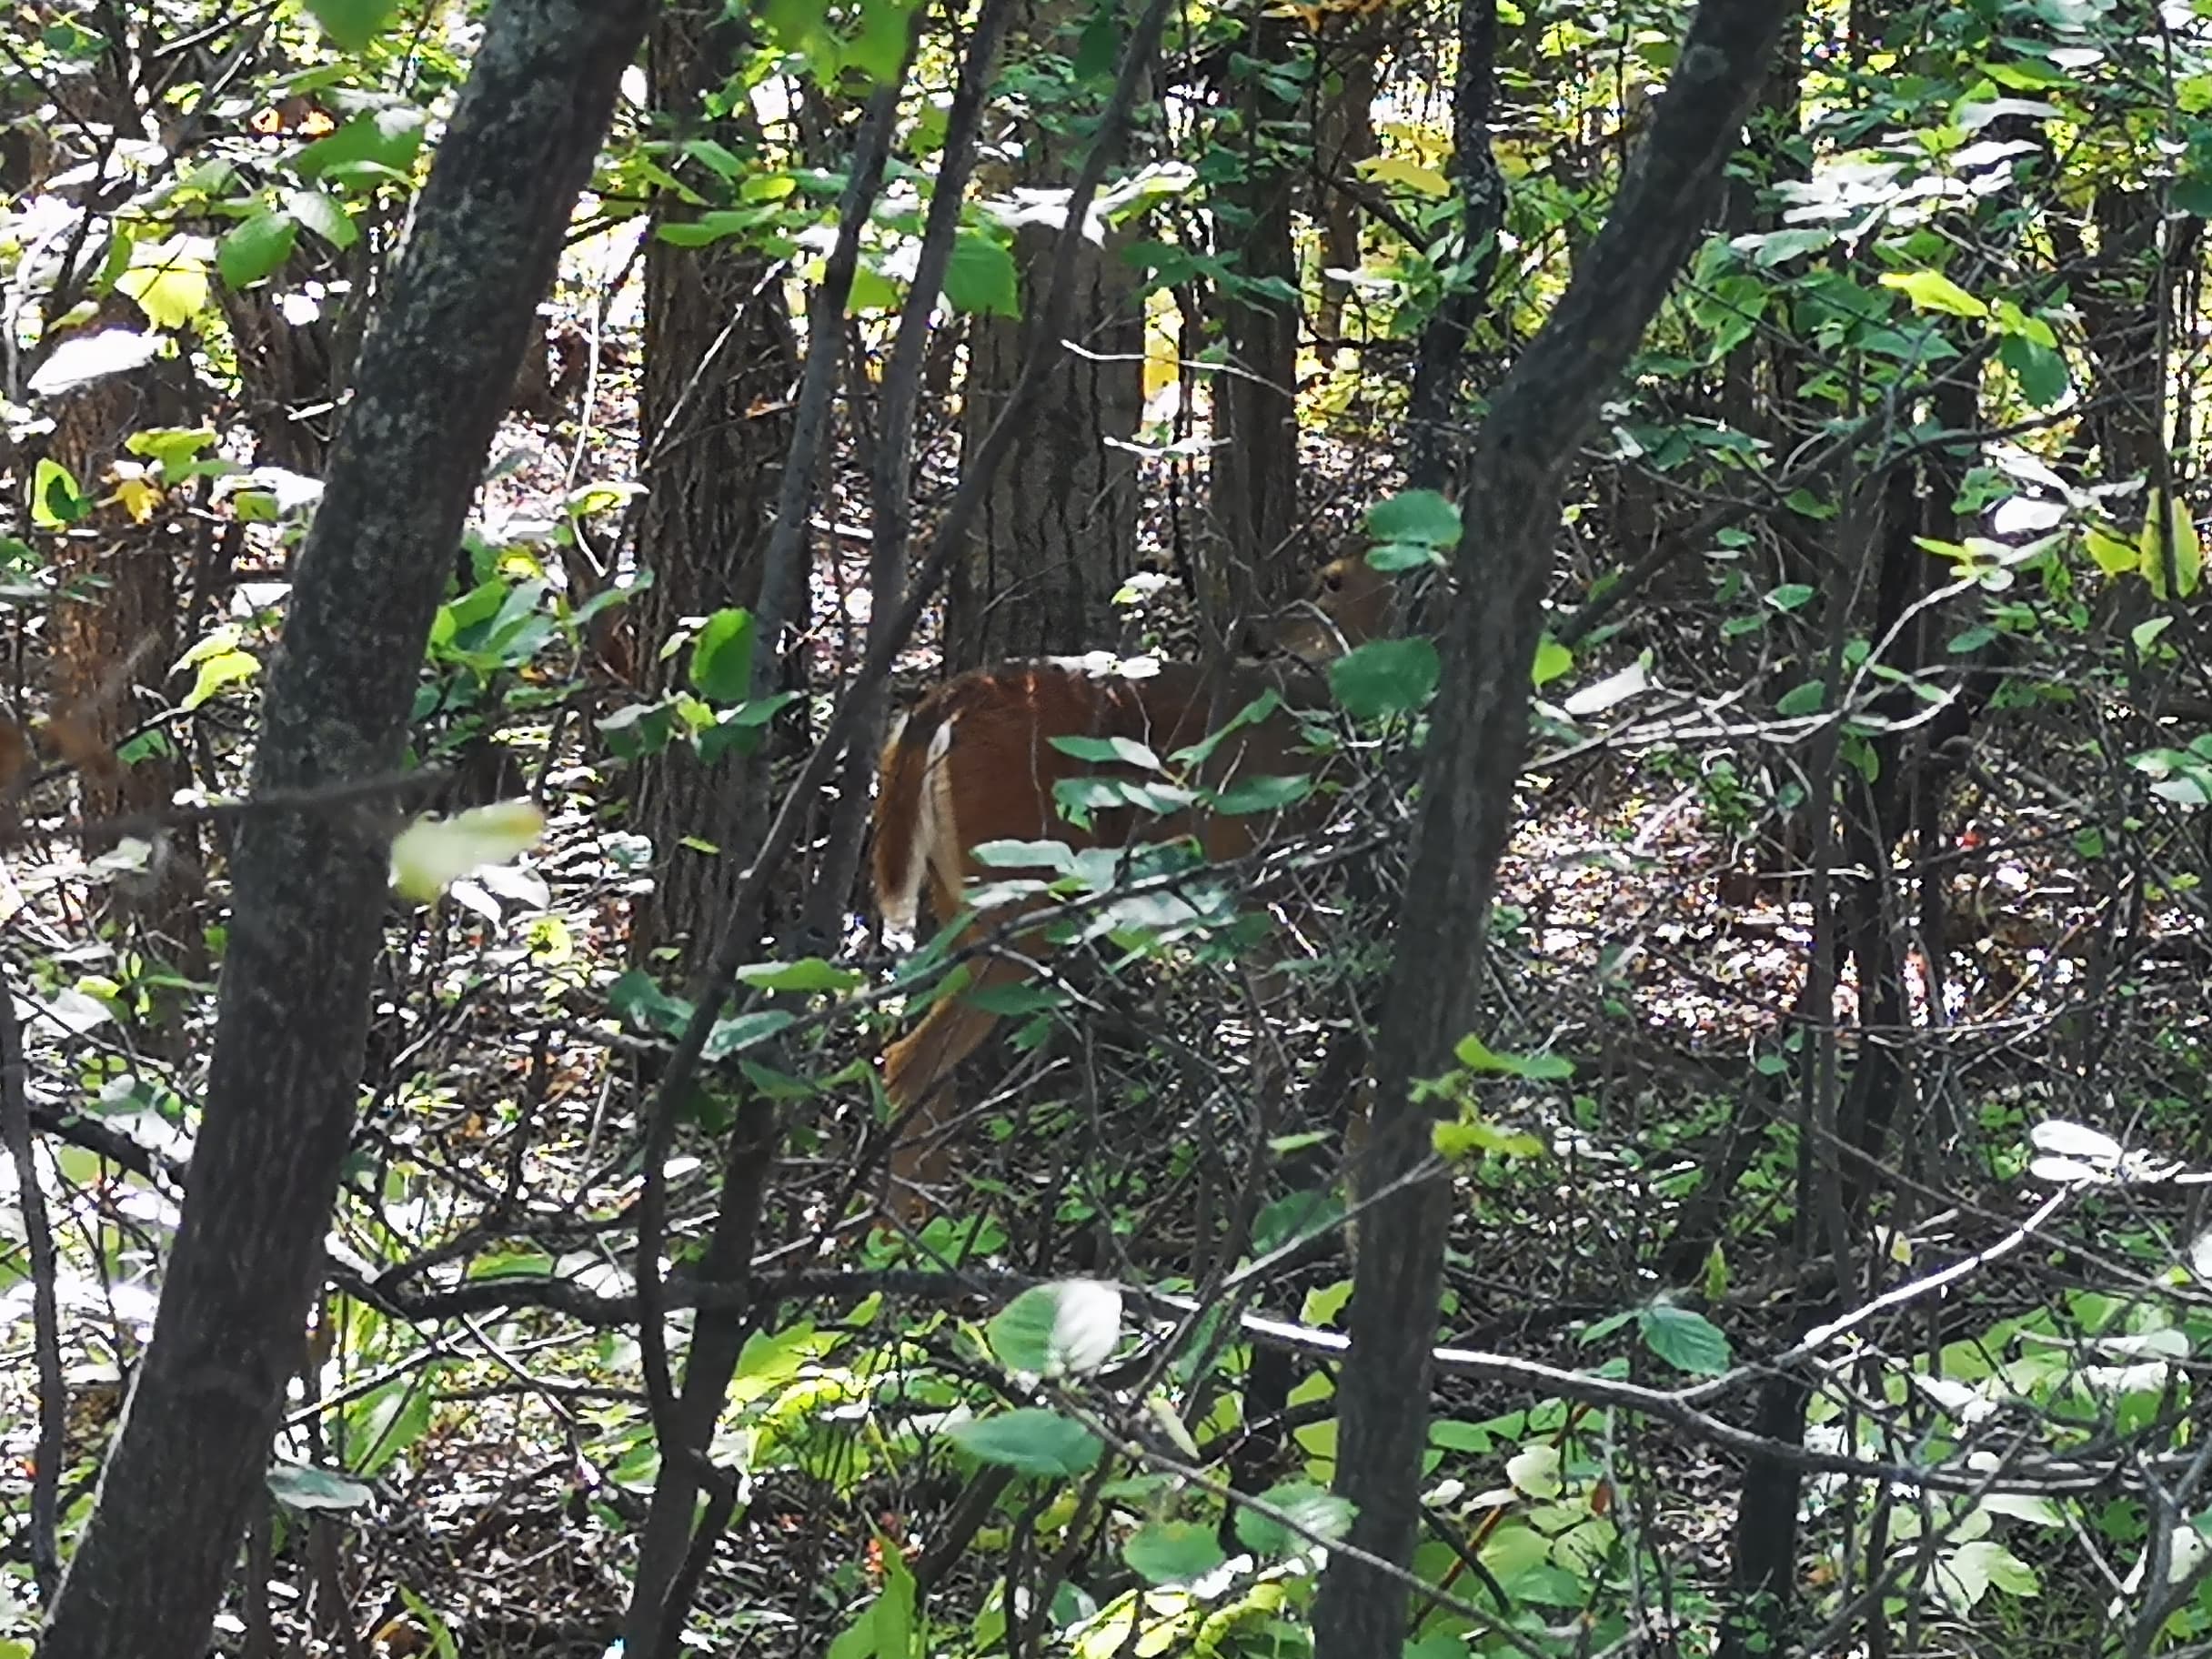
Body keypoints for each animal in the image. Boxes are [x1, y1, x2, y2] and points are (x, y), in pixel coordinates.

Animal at [868, 549, 1399, 1211]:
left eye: (1332, 581)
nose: (1257, 635)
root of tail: (941, 703)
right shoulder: (1266, 879)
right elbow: (1284, 1038)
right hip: (1015, 887)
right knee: (906, 1057)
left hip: (955, 893)